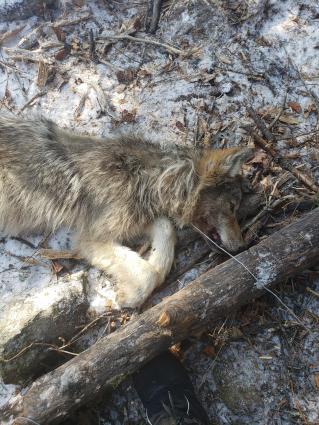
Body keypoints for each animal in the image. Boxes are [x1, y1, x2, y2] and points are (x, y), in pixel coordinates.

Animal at [0, 116, 255, 306]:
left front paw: (155, 264)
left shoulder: (139, 218)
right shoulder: (89, 237)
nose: (243, 246)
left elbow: (166, 231)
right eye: (232, 207)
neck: (150, 177)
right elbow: (147, 272)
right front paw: (130, 297)